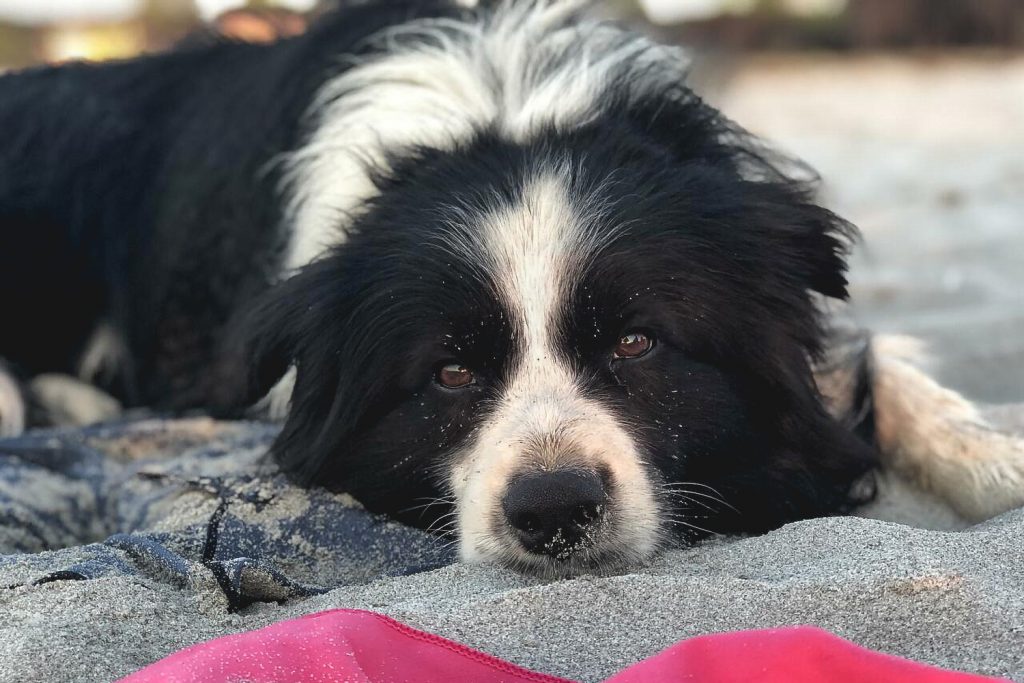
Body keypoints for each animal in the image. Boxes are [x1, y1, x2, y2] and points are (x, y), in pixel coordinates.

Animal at [2, 0, 1024, 577]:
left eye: (637, 341)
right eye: (449, 372)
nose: (554, 511)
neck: (506, 112)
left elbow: (881, 366)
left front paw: (994, 457)